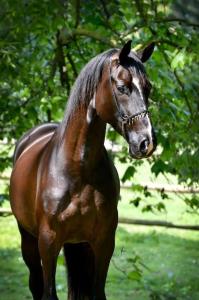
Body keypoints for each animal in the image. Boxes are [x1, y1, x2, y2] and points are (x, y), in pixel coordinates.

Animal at [10, 40, 156, 300]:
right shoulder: (48, 242)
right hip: (28, 239)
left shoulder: (103, 242)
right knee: (36, 284)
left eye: (148, 88)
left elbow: (97, 292)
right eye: (122, 87)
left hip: (78, 244)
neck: (78, 170)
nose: (146, 142)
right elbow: (48, 293)